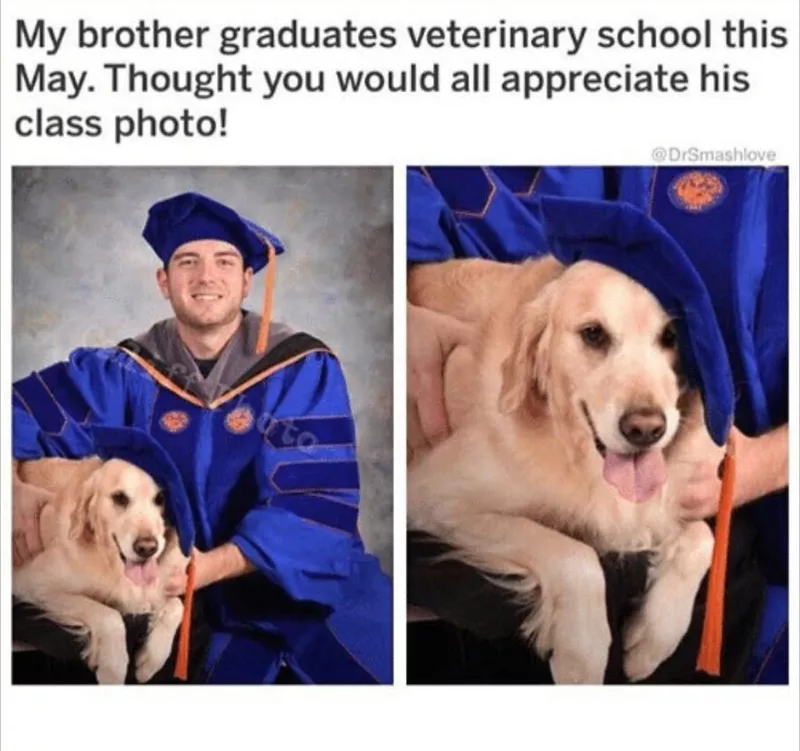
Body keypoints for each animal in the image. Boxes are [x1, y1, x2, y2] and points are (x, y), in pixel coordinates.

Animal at [13, 456, 188, 684]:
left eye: (160, 499)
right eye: (119, 498)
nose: (147, 548)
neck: (110, 561)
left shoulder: (157, 589)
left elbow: (178, 606)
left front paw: (150, 660)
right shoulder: (36, 584)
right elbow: (108, 616)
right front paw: (112, 668)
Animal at [410, 258, 720, 688]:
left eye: (671, 337)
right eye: (593, 334)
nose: (646, 429)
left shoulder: (656, 506)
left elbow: (703, 538)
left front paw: (651, 640)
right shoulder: (436, 495)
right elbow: (573, 555)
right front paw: (581, 655)